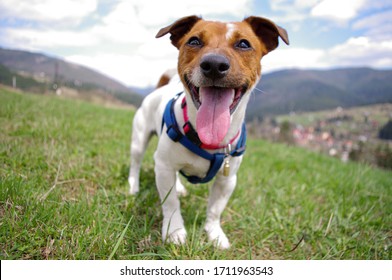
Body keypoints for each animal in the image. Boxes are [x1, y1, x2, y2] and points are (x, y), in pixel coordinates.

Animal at [129, 15, 288, 248]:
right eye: (194, 41)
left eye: (244, 44)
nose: (214, 64)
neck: (207, 140)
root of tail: (160, 89)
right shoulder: (164, 166)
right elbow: (170, 203)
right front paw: (174, 230)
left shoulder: (227, 179)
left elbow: (215, 209)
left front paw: (214, 233)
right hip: (139, 140)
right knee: (136, 163)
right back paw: (133, 185)